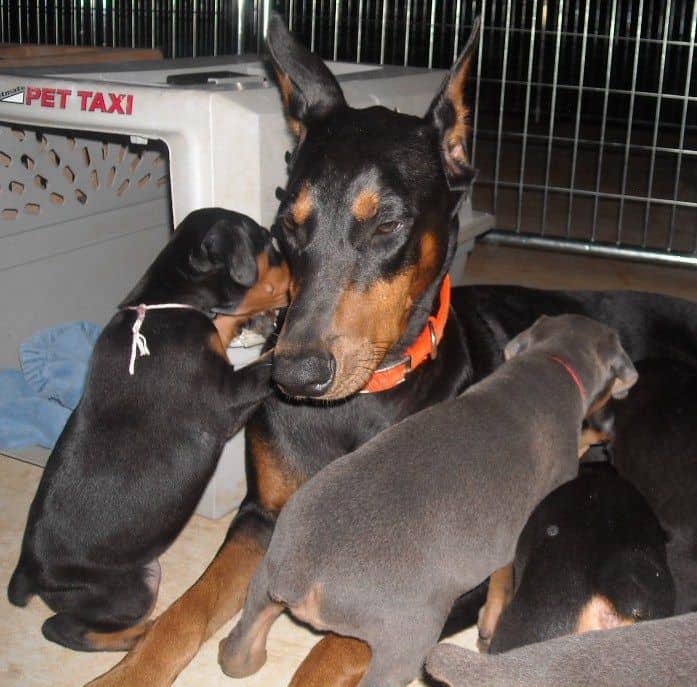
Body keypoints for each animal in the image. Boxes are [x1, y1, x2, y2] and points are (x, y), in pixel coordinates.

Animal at [6, 207, 288, 652]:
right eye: (267, 242)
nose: (299, 272)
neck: (168, 303)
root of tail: (28, 570)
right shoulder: (223, 398)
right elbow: (268, 363)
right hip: (130, 588)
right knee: (62, 629)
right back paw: (140, 634)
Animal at [220, 316, 640, 687]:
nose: (610, 432)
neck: (552, 359)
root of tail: (298, 575)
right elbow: (503, 574)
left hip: (263, 574)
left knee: (237, 648)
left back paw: (238, 655)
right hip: (407, 635)